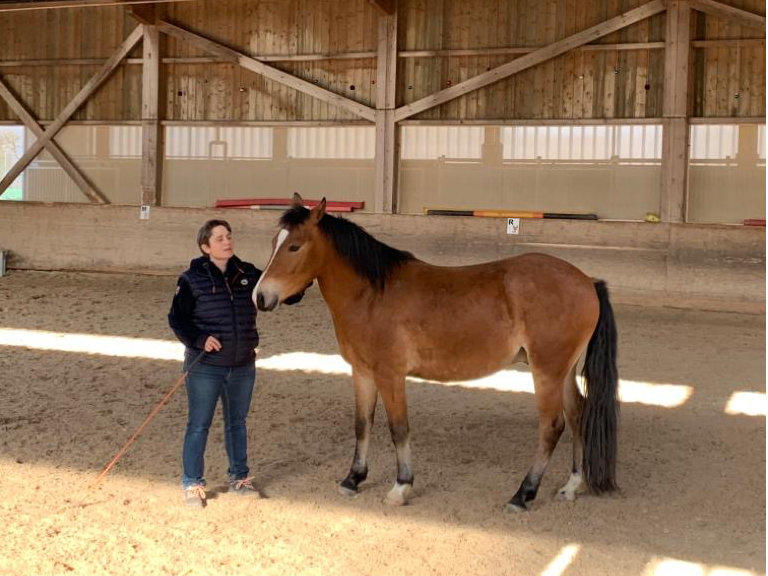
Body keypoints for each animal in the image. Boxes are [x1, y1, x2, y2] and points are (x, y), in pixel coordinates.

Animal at [254, 193, 619, 511]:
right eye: (273, 242)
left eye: (294, 246)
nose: (260, 297)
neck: (372, 295)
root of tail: (587, 282)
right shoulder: (362, 372)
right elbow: (362, 424)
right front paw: (353, 479)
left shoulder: (390, 375)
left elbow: (398, 428)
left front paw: (401, 487)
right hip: (563, 372)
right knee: (578, 415)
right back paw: (571, 486)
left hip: (546, 372)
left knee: (551, 426)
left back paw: (523, 494)